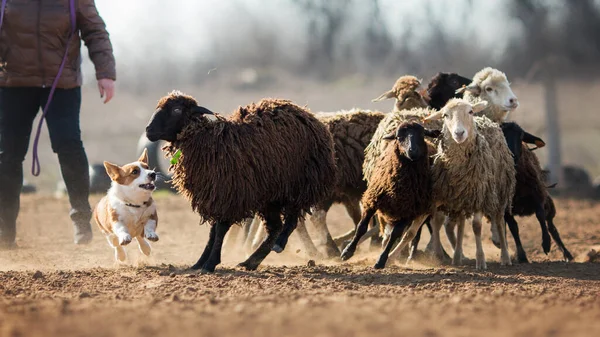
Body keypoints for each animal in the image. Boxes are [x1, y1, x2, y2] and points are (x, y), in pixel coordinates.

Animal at [143, 90, 336, 272]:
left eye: (176, 110)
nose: (148, 131)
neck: (208, 142)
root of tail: (309, 116)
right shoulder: (216, 196)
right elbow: (213, 232)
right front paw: (199, 263)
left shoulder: (229, 194)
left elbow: (220, 230)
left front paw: (210, 264)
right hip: (270, 196)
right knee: (275, 227)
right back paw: (251, 262)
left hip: (300, 183)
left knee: (292, 219)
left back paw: (278, 245)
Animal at [340, 121, 438, 268]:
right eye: (399, 137)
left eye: (421, 135)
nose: (412, 151)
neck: (398, 188)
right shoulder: (372, 201)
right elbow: (361, 228)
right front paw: (347, 252)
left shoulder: (408, 212)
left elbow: (395, 235)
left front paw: (381, 260)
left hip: (422, 209)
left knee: (413, 234)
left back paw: (408, 257)